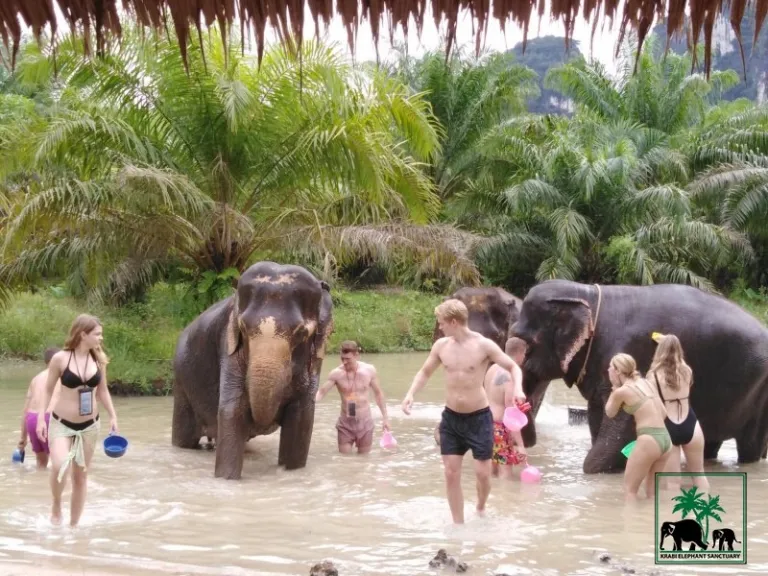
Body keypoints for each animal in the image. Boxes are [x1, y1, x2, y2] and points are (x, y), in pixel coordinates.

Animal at [171, 261, 334, 480]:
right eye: (243, 328)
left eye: (300, 333)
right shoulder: (228, 345)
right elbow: (233, 412)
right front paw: (227, 480)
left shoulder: (314, 360)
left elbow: (301, 418)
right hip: (182, 381)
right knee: (184, 438)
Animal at [511, 279, 768, 474]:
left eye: (527, 344)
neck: (588, 295)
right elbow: (598, 416)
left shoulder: (631, 354)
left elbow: (619, 428)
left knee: (749, 447)